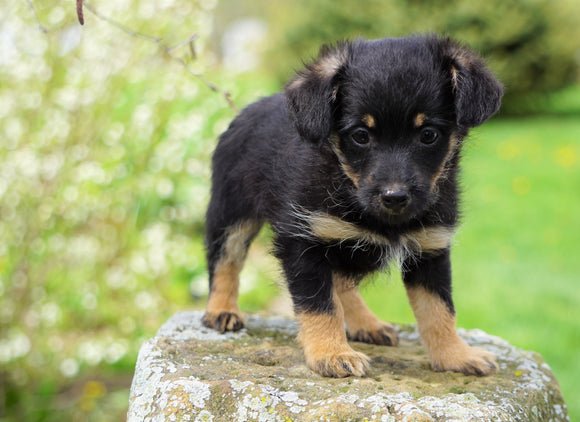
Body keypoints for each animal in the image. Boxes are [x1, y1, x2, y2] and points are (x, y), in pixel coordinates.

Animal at [202, 36, 500, 378]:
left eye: (428, 135)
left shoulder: (431, 247)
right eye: (360, 136)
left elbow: (439, 309)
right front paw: (330, 353)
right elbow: (320, 305)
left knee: (342, 283)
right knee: (225, 260)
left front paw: (455, 355)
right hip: (231, 213)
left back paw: (365, 323)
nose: (394, 196)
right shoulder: (303, 241)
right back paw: (222, 310)